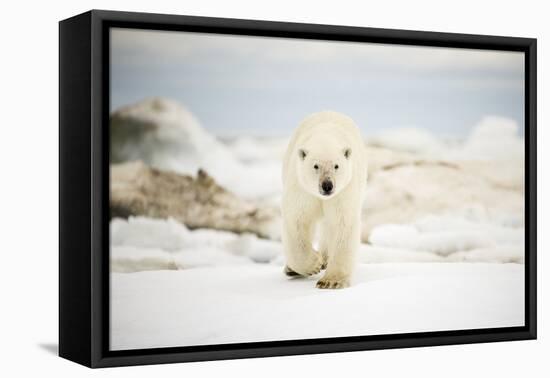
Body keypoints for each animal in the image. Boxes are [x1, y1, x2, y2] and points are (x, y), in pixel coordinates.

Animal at [282, 110, 368, 288]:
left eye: (336, 166)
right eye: (316, 166)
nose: (327, 185)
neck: (325, 137)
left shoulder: (344, 191)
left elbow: (343, 224)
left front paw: (331, 281)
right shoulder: (302, 188)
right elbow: (297, 220)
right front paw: (313, 264)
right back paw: (292, 269)